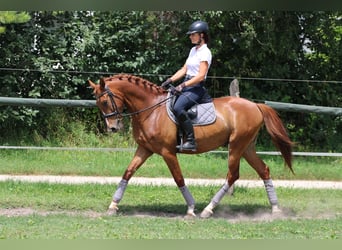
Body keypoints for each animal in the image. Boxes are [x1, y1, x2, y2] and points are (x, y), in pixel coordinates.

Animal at [89, 73, 294, 218]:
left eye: (105, 101)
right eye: (98, 103)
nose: (113, 128)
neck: (152, 109)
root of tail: (255, 105)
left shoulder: (167, 152)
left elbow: (178, 178)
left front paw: (191, 208)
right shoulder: (145, 149)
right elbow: (128, 173)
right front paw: (113, 206)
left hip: (236, 146)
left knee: (233, 175)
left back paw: (208, 210)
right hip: (247, 147)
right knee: (263, 170)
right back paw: (275, 209)